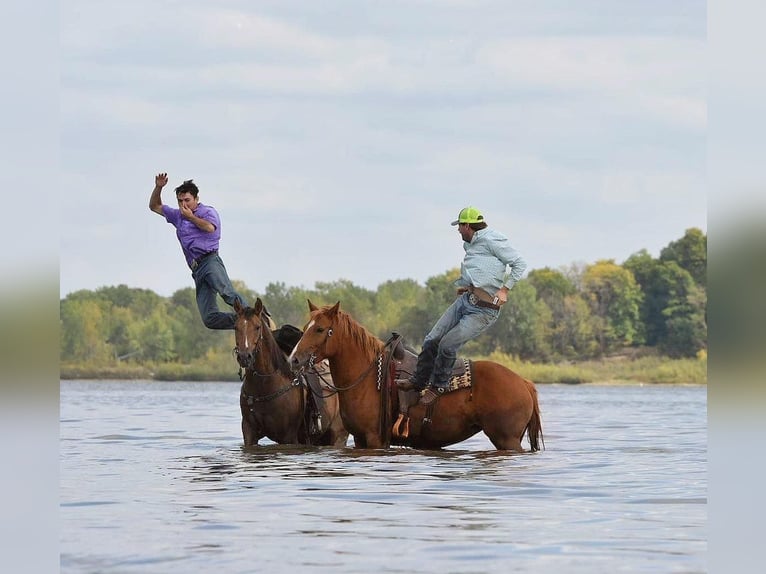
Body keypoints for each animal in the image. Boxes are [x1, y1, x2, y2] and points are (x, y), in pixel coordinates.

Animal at [232, 300, 350, 452]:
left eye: (257, 327)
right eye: (236, 327)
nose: (244, 357)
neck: (265, 385)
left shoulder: (288, 436)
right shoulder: (249, 432)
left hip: (338, 436)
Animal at [288, 302, 544, 454]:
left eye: (320, 329)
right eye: (306, 325)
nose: (294, 359)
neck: (369, 378)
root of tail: (524, 383)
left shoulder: (374, 438)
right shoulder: (360, 439)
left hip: (507, 440)